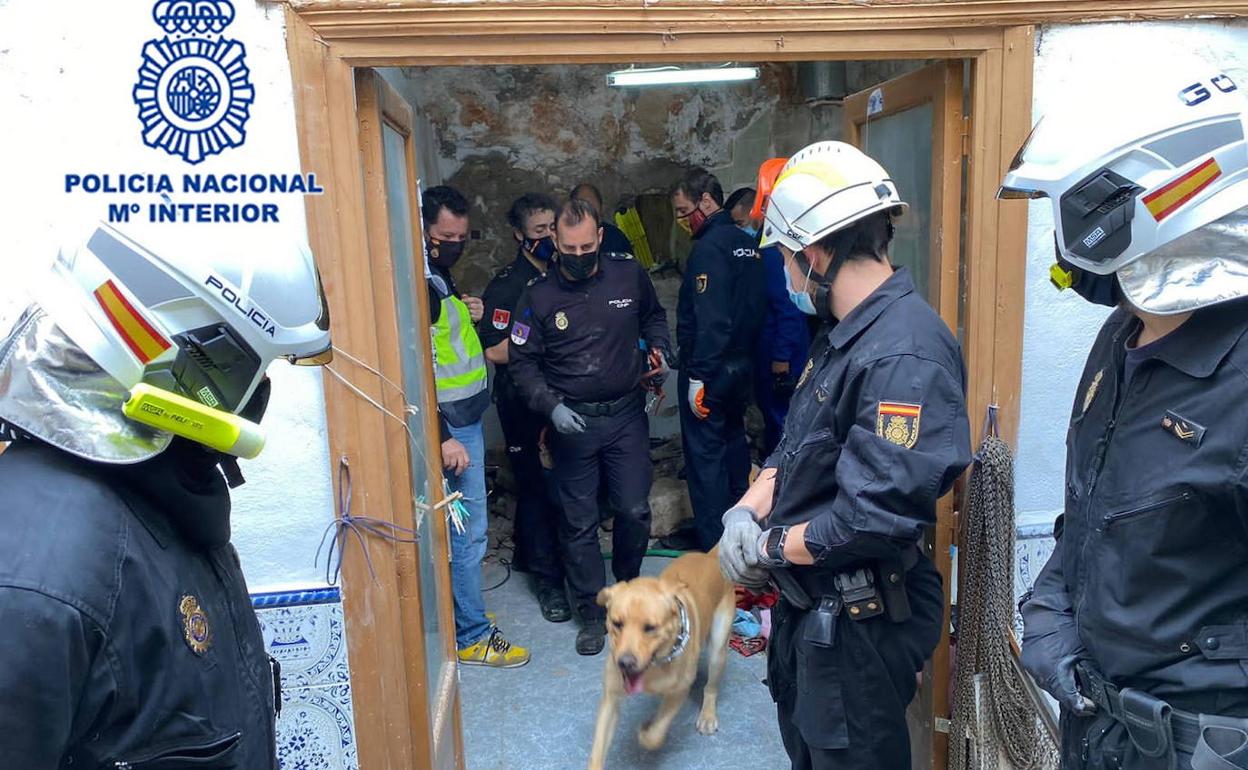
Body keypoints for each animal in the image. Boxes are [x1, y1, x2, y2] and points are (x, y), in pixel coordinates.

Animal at [586, 549, 733, 763]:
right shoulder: (610, 698)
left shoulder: (679, 691)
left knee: (711, 688)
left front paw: (646, 732)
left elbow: (655, 734)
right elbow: (597, 752)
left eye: (650, 628)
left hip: (718, 651)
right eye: (617, 623)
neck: (654, 666)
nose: (625, 663)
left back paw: (707, 715)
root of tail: (710, 556)